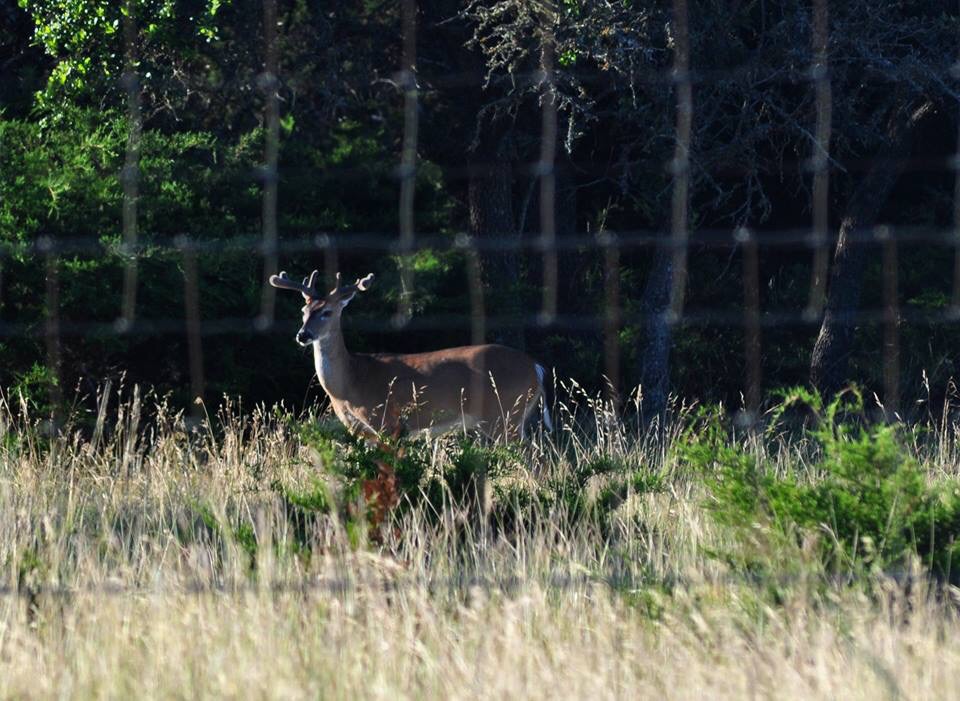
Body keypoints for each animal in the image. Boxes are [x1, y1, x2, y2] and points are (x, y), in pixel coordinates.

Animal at [269, 270, 553, 440]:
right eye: (304, 311)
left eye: (327, 312)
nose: (303, 335)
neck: (350, 381)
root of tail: (536, 367)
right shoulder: (360, 430)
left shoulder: (385, 421)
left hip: (505, 413)